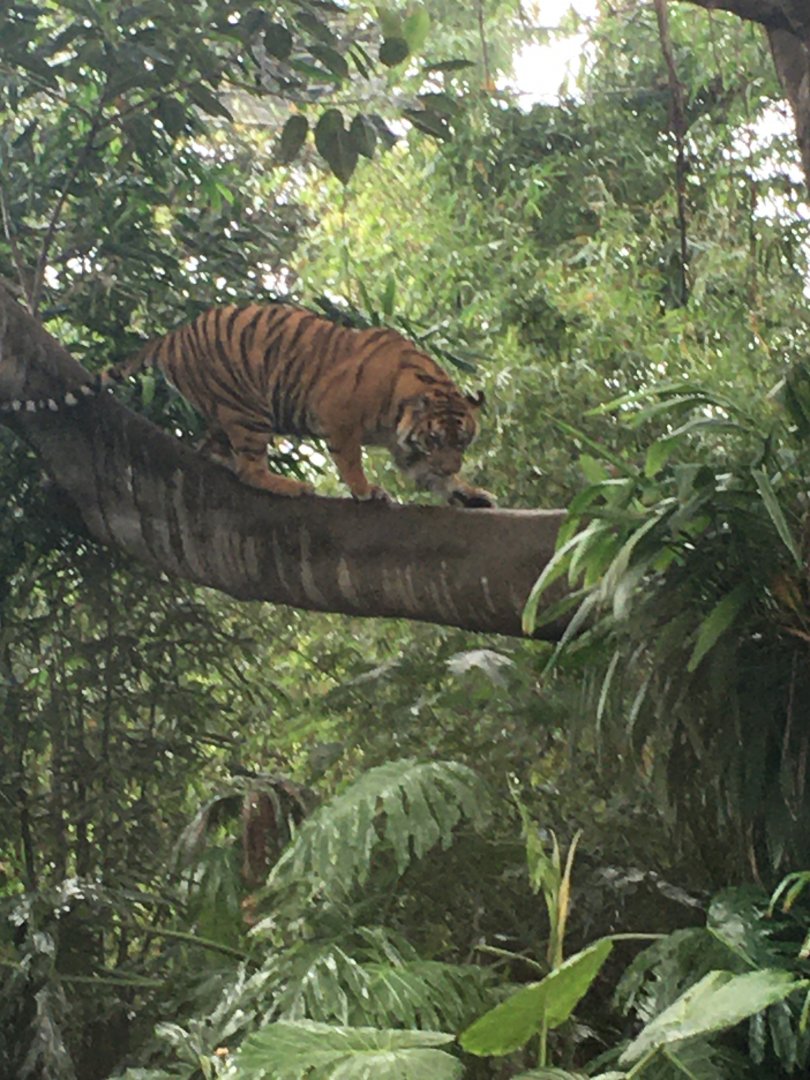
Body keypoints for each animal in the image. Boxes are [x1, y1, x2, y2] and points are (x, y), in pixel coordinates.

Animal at [2, 303, 495, 507]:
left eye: (461, 442)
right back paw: (290, 486)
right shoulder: (340, 419)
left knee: (214, 450)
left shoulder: (404, 446)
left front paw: (468, 492)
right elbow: (351, 461)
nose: (452, 463)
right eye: (436, 440)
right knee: (249, 468)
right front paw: (366, 490)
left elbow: (431, 478)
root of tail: (173, 335)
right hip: (249, 409)